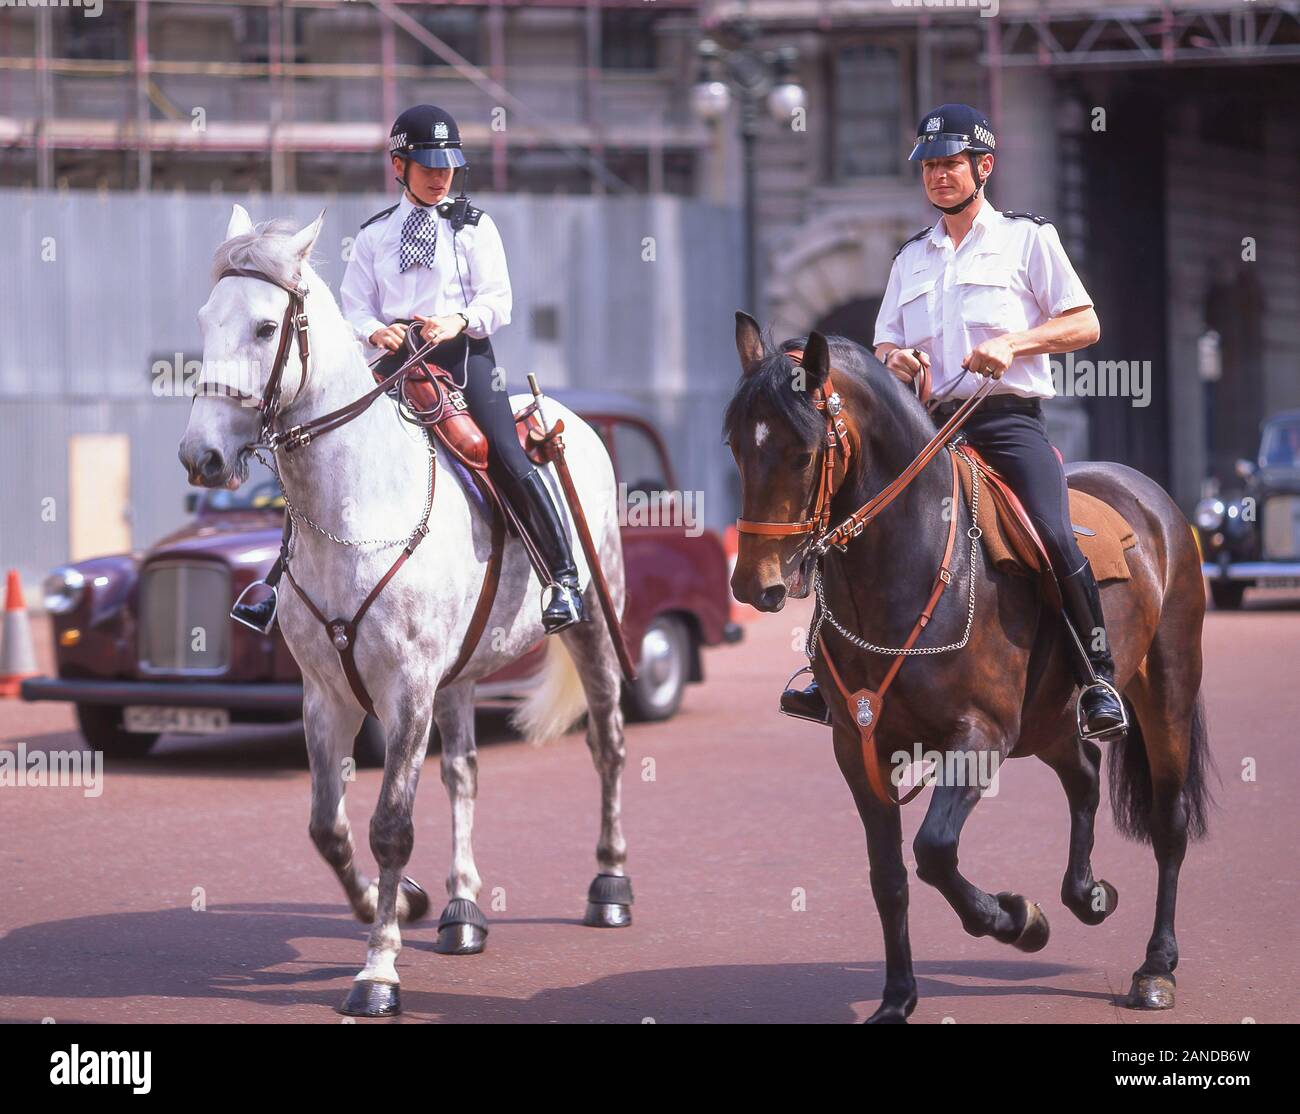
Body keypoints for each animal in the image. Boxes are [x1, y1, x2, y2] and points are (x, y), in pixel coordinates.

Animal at [179, 207, 634, 1019]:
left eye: (264, 327)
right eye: (206, 318)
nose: (200, 456)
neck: (357, 507)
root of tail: (563, 419)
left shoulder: (407, 691)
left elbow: (390, 827)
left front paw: (379, 970)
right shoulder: (325, 695)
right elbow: (327, 827)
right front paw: (399, 904)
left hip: (590, 629)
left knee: (607, 742)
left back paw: (609, 884)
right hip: (460, 676)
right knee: (464, 771)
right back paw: (461, 911)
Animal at [728, 314, 1211, 1024]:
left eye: (803, 451)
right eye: (737, 444)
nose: (753, 583)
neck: (915, 560)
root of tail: (1151, 496)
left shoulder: (980, 737)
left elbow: (933, 851)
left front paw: (1017, 919)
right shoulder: (859, 748)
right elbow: (889, 878)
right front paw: (897, 998)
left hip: (1166, 692)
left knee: (1168, 824)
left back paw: (1156, 966)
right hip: (1046, 722)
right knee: (1084, 775)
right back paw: (1086, 895)